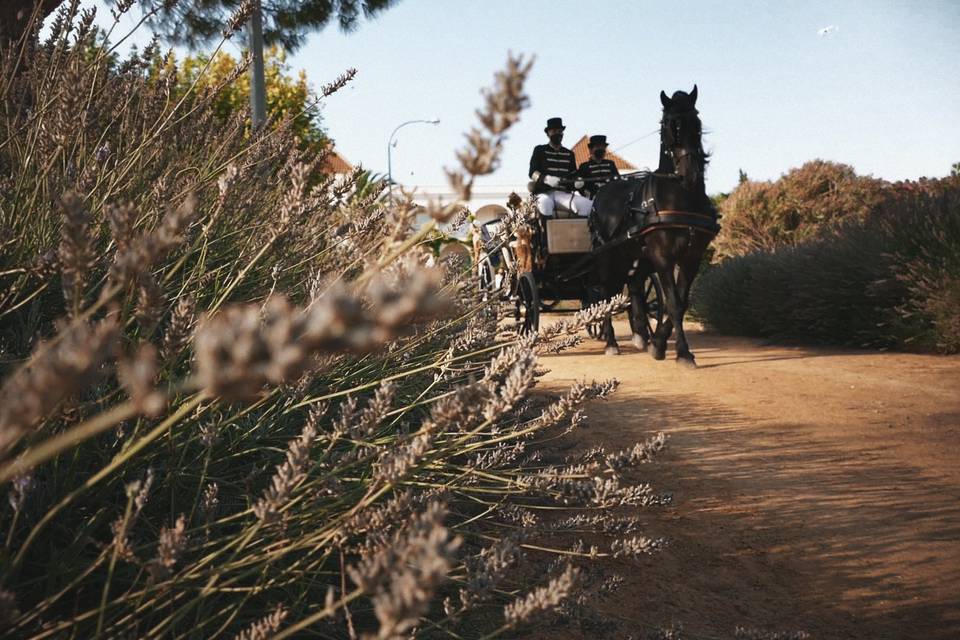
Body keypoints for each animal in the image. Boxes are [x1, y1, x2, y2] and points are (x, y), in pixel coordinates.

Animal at [588, 86, 716, 364]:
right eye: (669, 126)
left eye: (697, 123)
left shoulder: (691, 256)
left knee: (635, 287)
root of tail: (602, 191)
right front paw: (682, 352)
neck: (682, 198)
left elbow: (680, 302)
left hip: (636, 256)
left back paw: (640, 335)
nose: (690, 174)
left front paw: (658, 343)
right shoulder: (663, 256)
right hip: (606, 257)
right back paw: (611, 341)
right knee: (605, 293)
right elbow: (672, 302)